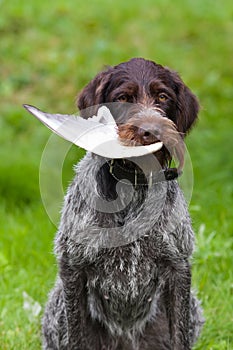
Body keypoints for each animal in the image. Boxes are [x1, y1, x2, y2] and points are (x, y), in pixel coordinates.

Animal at [42, 58, 203, 348]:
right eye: (123, 98)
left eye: (163, 97)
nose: (151, 130)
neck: (133, 185)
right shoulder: (73, 267)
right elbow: (75, 335)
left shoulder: (178, 266)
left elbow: (180, 336)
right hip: (56, 306)